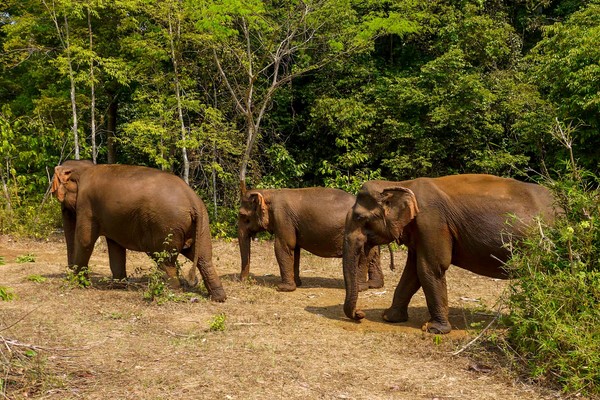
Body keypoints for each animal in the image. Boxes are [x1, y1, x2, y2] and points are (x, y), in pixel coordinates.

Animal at [49, 159, 226, 300]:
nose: (68, 277)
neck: (85, 168)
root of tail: (193, 201)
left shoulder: (86, 205)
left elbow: (85, 241)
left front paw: (79, 284)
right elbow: (115, 246)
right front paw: (118, 286)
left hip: (166, 226)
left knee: (166, 260)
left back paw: (171, 292)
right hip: (202, 225)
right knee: (203, 257)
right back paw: (219, 297)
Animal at [239, 186, 390, 292]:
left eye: (242, 216)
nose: (245, 280)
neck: (270, 193)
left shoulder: (282, 217)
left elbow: (284, 246)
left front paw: (283, 288)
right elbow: (295, 249)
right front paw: (297, 284)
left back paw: (360, 288)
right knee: (373, 254)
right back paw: (374, 285)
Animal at [342, 173, 556, 332]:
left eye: (360, 218)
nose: (360, 314)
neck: (401, 184)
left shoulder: (432, 222)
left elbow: (430, 267)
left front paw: (434, 329)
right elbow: (412, 271)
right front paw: (390, 317)